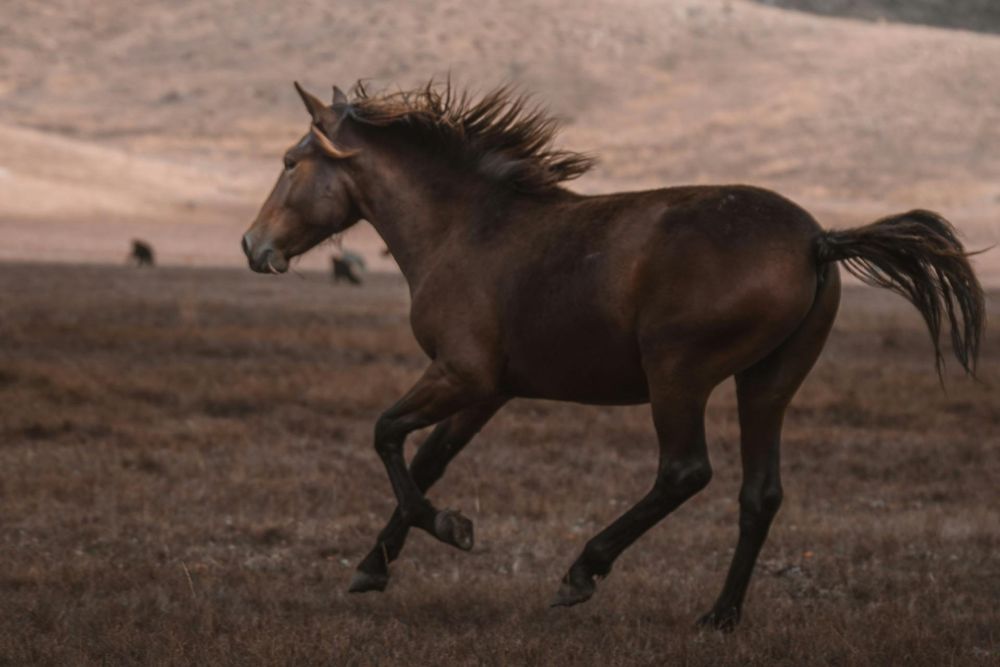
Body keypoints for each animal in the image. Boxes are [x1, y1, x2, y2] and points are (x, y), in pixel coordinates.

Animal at [240, 81, 985, 631]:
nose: (252, 246)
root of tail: (818, 240)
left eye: (289, 162)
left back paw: (583, 571)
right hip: (767, 381)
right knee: (760, 493)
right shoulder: (487, 388)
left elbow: (387, 434)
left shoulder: (461, 373)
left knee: (684, 472)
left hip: (678, 374)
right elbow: (429, 458)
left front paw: (452, 528)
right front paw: (374, 565)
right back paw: (719, 615)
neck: (466, 229)